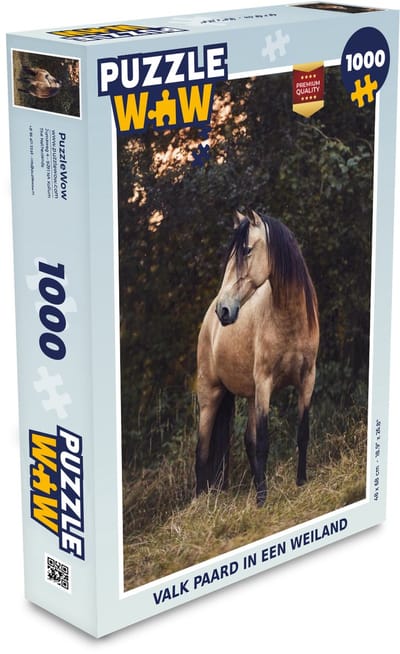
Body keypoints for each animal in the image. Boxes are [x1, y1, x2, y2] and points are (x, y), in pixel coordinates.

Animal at [195, 210, 319, 506]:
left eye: (247, 250)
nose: (224, 310)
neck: (289, 320)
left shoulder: (308, 379)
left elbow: (302, 432)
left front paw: (301, 482)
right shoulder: (265, 384)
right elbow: (263, 442)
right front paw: (264, 500)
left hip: (250, 396)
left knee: (246, 442)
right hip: (210, 396)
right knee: (202, 452)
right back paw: (201, 504)